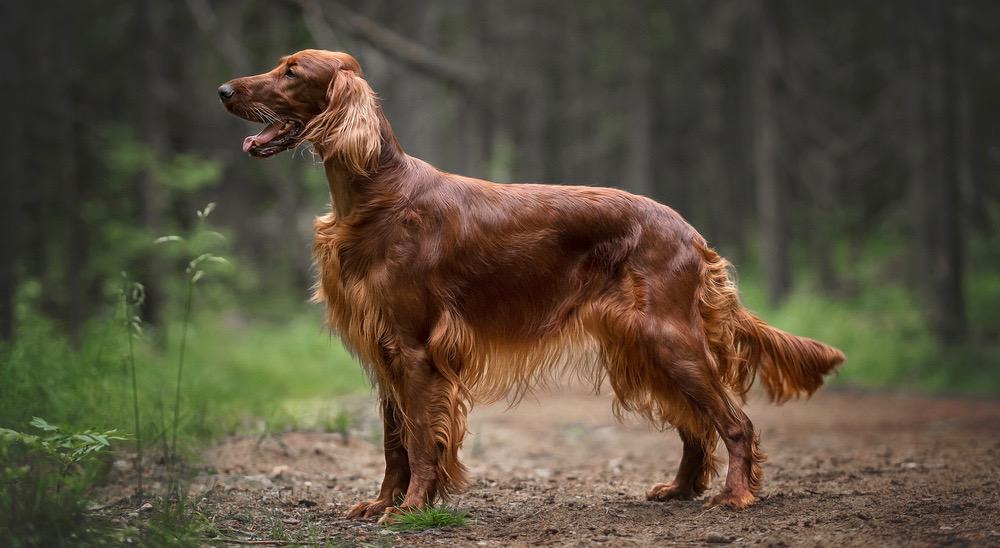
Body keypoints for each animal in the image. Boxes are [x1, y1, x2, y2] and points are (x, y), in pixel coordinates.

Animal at [219, 49, 844, 520]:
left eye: (291, 71)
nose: (223, 90)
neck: (375, 194)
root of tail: (690, 232)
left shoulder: (415, 349)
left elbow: (420, 438)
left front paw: (414, 507)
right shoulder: (385, 348)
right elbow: (395, 441)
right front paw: (382, 503)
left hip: (668, 338)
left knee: (734, 422)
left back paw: (736, 495)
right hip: (644, 345)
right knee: (696, 425)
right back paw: (682, 488)